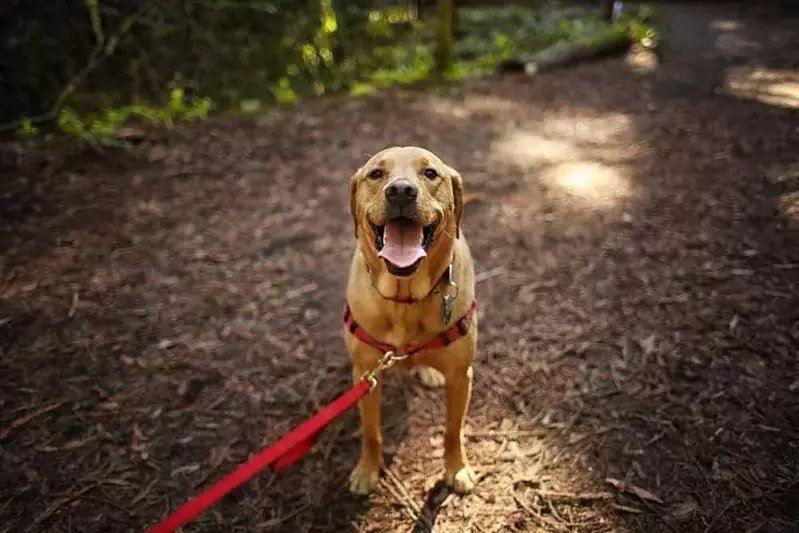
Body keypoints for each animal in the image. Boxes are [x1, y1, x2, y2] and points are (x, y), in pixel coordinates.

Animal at [344, 144, 482, 494]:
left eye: (430, 173)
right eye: (376, 174)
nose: (401, 192)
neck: (405, 299)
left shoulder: (461, 376)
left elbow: (453, 430)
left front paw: (457, 468)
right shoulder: (365, 375)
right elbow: (371, 432)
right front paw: (367, 470)